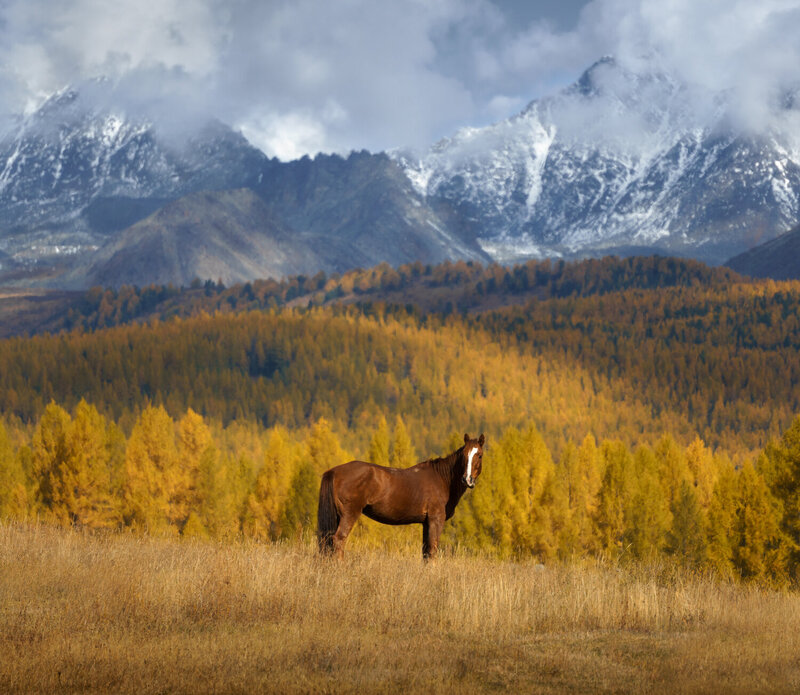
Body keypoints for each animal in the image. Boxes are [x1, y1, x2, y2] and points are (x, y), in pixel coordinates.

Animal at [317, 433, 485, 558]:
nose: (467, 479)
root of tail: (334, 471)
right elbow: (432, 550)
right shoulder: (435, 520)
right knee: (339, 540)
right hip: (349, 514)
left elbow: (425, 552)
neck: (442, 478)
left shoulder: (426, 523)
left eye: (479, 455)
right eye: (464, 455)